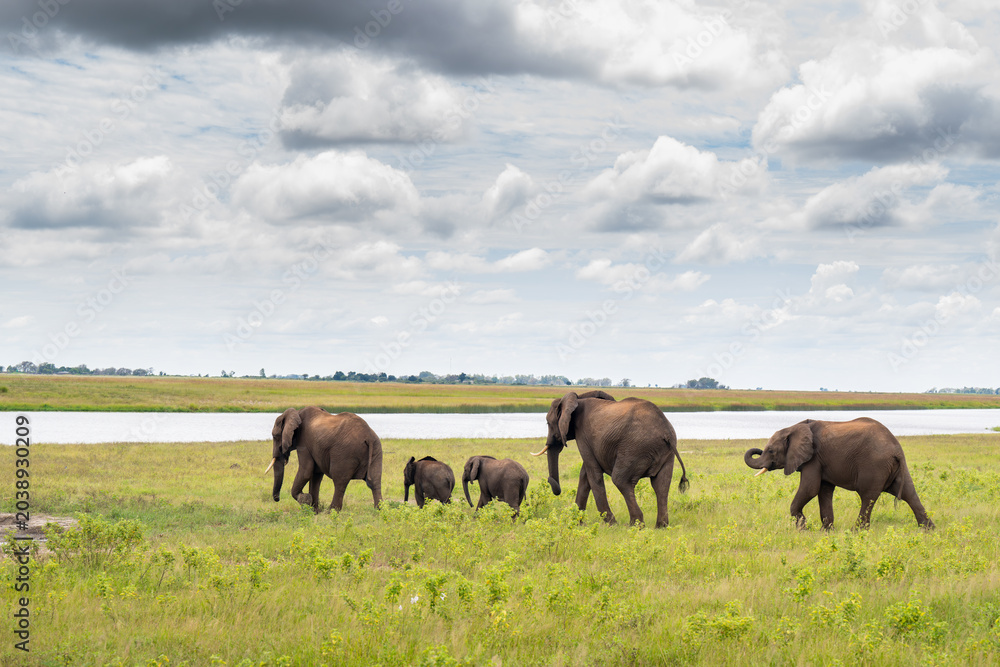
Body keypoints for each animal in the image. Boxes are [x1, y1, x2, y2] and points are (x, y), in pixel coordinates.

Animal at [533, 391, 689, 528]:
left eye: (548, 423)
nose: (551, 482)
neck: (578, 397)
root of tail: (666, 432)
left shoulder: (582, 434)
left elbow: (593, 473)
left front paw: (611, 524)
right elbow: (585, 475)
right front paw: (577, 523)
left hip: (634, 448)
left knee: (621, 480)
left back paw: (634, 525)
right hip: (665, 452)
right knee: (661, 485)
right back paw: (661, 526)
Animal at [744, 418, 933, 529]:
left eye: (771, 451)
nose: (758, 449)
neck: (795, 426)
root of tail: (896, 449)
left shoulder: (813, 459)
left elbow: (810, 488)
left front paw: (803, 528)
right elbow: (823, 491)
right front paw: (826, 531)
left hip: (874, 466)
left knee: (868, 497)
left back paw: (857, 531)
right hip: (896, 468)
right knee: (910, 493)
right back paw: (928, 529)